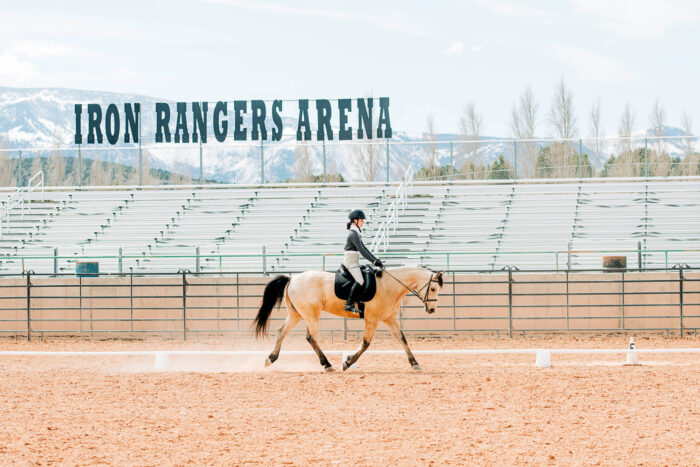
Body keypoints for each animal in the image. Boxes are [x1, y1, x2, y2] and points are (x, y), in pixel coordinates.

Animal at [253, 266, 444, 371]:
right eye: (433, 289)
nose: (432, 310)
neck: (389, 285)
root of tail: (292, 278)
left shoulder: (390, 318)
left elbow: (402, 339)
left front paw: (415, 363)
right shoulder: (372, 319)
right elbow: (366, 344)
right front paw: (348, 362)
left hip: (296, 314)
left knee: (281, 332)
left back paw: (270, 359)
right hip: (311, 314)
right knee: (311, 337)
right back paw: (327, 364)